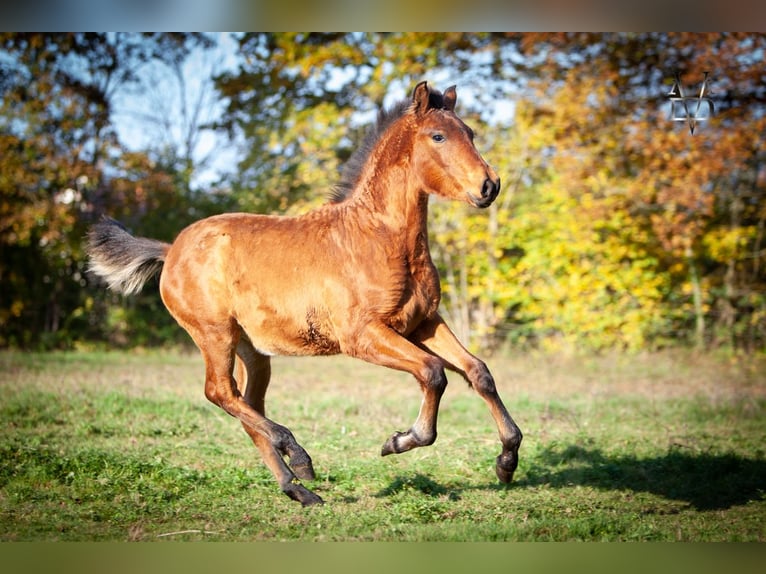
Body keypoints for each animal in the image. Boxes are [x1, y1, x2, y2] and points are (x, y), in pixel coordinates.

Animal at [87, 82, 524, 508]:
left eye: (470, 133)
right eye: (438, 136)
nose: (489, 185)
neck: (376, 237)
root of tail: (171, 249)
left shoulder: (424, 322)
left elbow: (478, 372)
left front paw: (507, 460)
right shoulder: (362, 336)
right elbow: (433, 373)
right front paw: (400, 441)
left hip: (252, 351)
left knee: (247, 404)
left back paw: (298, 489)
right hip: (214, 334)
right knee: (219, 392)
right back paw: (298, 455)